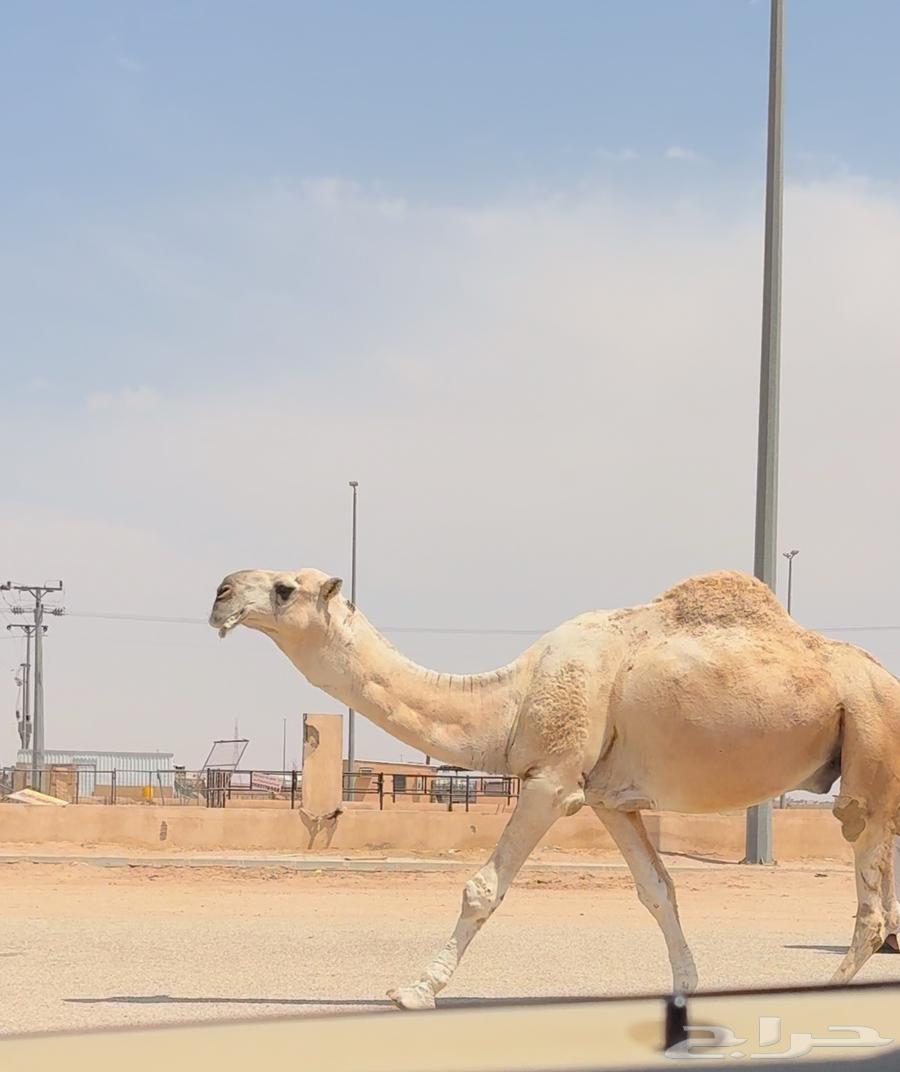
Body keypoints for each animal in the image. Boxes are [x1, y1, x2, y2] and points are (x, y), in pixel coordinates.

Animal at [208, 567, 900, 1009]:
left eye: (284, 588)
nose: (220, 592)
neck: (511, 700)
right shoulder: (608, 798)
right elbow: (658, 892)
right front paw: (684, 986)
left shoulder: (553, 781)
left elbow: (482, 888)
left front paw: (413, 991)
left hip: (872, 753)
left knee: (869, 905)